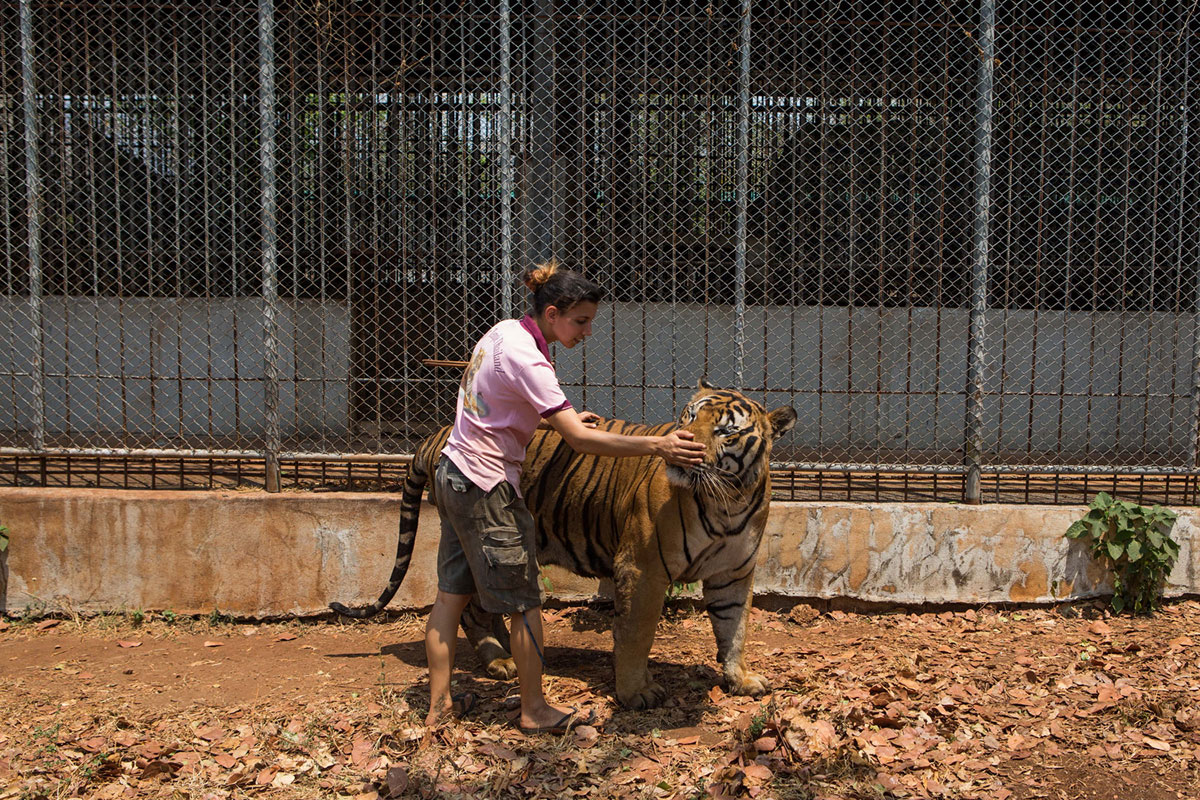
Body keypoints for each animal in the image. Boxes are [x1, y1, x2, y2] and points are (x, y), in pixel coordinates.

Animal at [330, 380, 797, 709]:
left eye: (725, 432)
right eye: (688, 415)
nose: (683, 446)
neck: (730, 499)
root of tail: (442, 431)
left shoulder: (734, 573)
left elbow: (734, 629)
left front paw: (740, 679)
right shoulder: (643, 567)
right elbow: (636, 633)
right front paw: (635, 692)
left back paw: (510, 653)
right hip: (486, 534)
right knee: (475, 607)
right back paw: (500, 660)